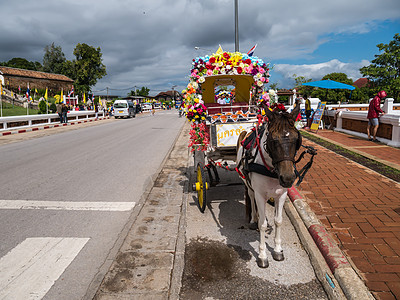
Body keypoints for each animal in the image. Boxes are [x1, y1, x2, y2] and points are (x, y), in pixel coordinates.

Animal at [236, 103, 302, 268]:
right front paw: (262, 255)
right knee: (251, 197)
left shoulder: (282, 194)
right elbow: (263, 224)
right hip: (249, 184)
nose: (288, 178)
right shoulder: (260, 194)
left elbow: (278, 221)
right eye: (273, 140)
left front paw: (278, 250)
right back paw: (253, 219)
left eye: (296, 139)